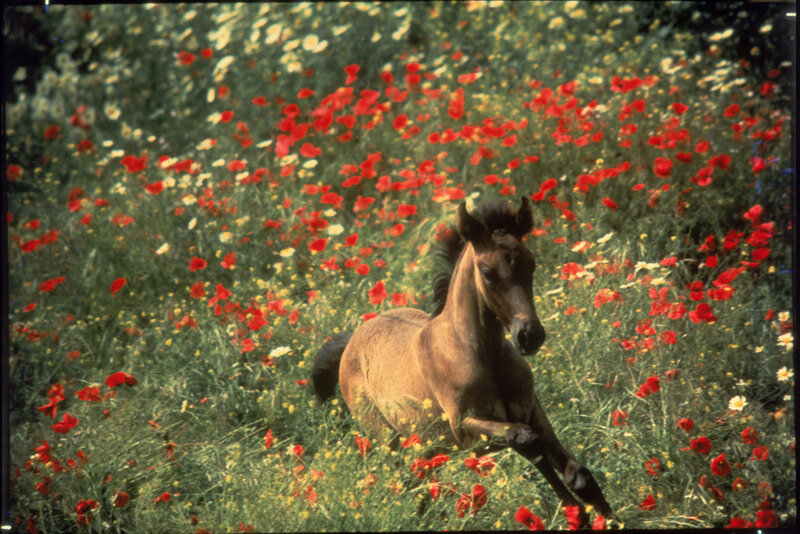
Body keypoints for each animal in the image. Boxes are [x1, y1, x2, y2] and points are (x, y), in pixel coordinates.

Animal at [312, 196, 612, 524]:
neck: (480, 354)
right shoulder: (467, 429)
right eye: (488, 272)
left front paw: (603, 513)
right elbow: (528, 442)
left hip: (426, 447)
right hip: (391, 441)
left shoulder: (532, 410)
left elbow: (576, 473)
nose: (530, 335)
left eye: (531, 264)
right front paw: (576, 512)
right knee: (409, 482)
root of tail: (353, 338)